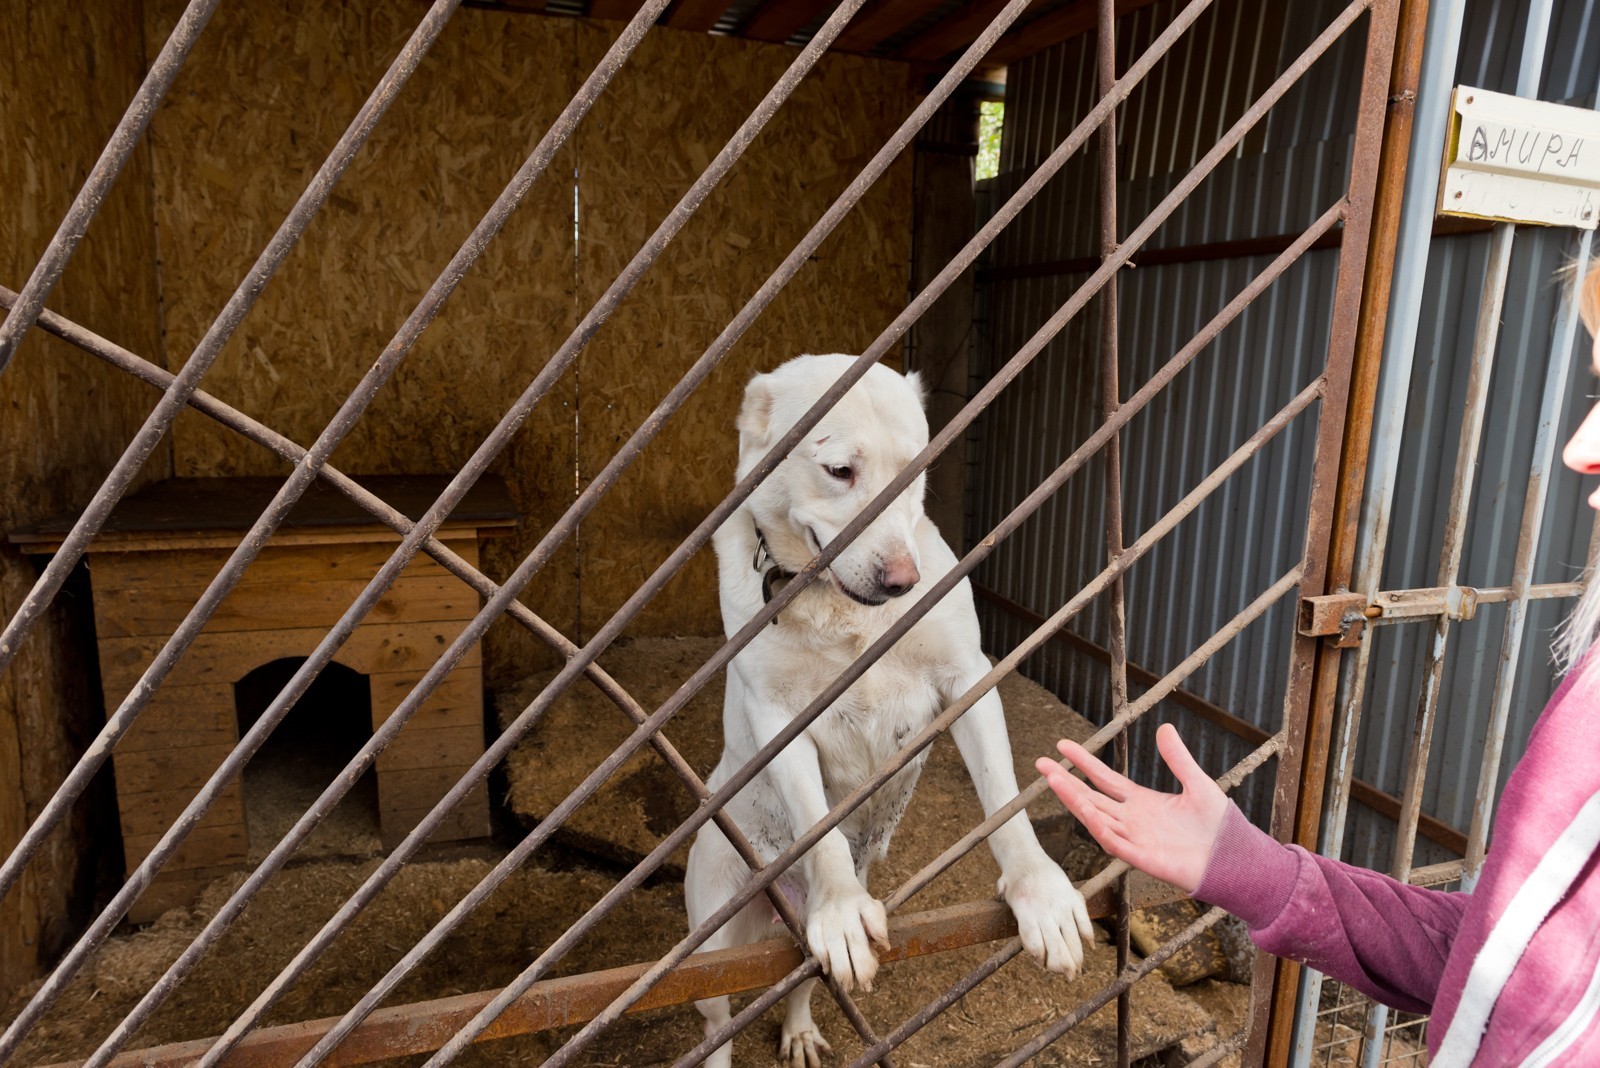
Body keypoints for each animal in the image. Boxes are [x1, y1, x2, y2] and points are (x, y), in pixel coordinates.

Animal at [681, 354, 1094, 1061]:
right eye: (839, 471)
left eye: (914, 471)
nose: (904, 581)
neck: (839, 607)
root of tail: (780, 902)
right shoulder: (778, 720)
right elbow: (818, 830)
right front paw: (841, 907)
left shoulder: (969, 679)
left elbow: (1005, 802)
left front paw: (1039, 889)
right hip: (712, 947)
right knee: (716, 1025)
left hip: (795, 961)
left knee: (799, 989)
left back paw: (800, 1032)